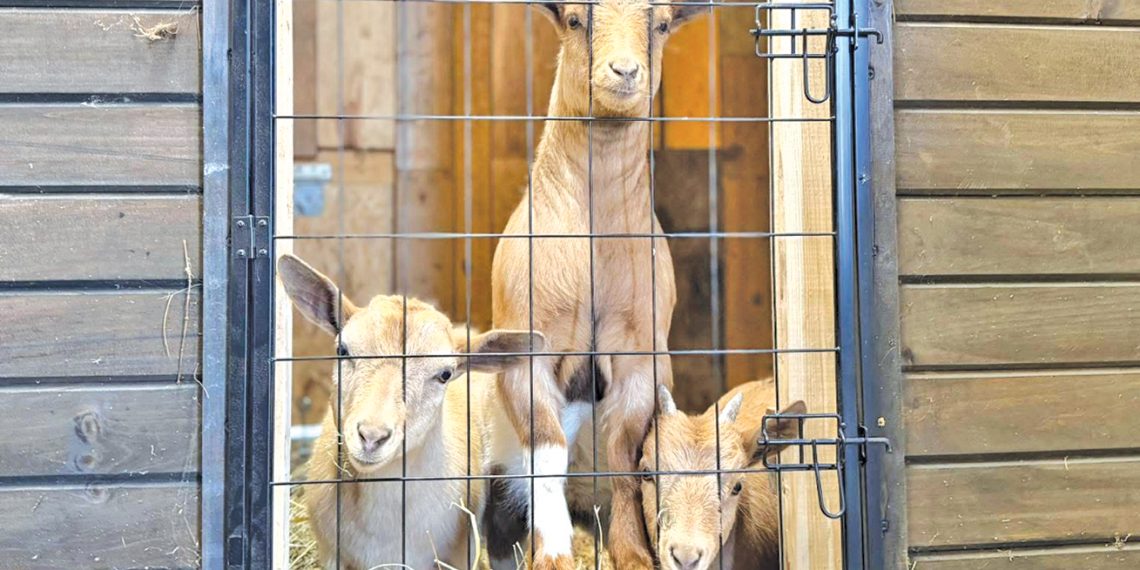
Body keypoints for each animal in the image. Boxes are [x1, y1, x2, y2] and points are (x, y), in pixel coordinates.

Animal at [485, 1, 708, 568]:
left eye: (662, 24)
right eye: (573, 20)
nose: (625, 71)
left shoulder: (639, 355)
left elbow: (626, 454)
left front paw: (633, 554)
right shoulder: (528, 352)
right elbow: (546, 451)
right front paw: (554, 554)